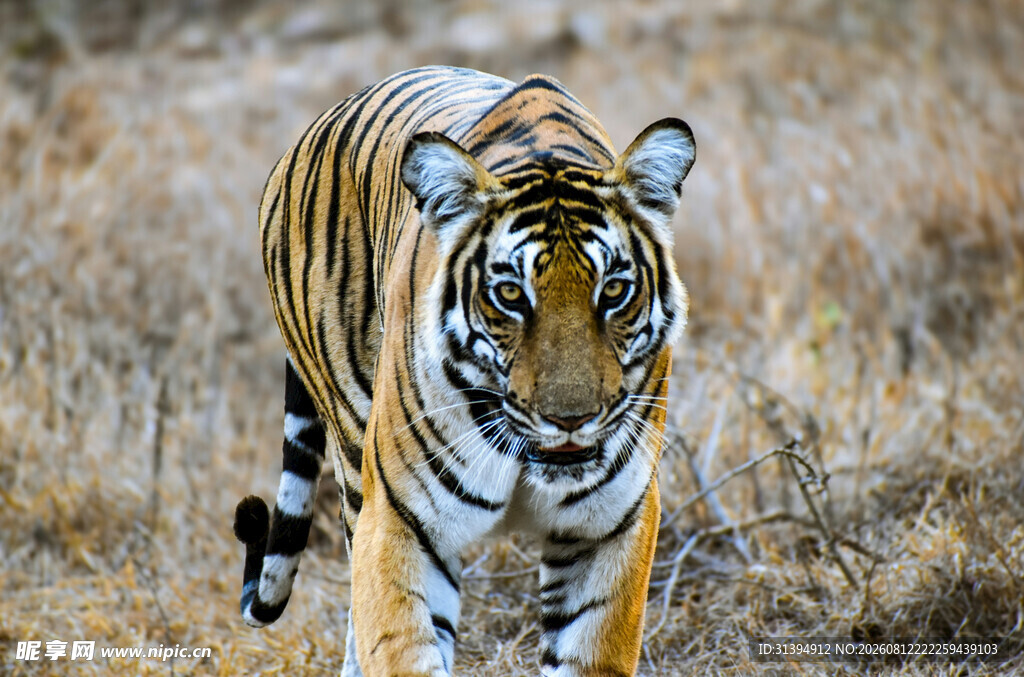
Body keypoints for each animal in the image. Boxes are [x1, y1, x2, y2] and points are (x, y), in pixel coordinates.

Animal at [233, 65, 695, 676]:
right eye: (510, 295)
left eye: (614, 290)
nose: (570, 419)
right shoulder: (399, 521)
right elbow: (399, 644)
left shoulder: (612, 526)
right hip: (354, 460)